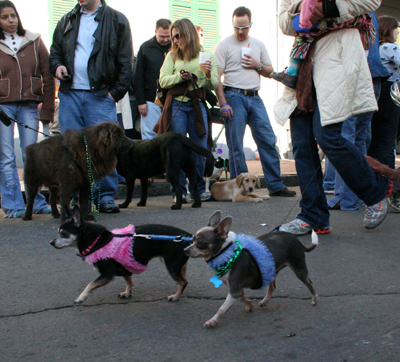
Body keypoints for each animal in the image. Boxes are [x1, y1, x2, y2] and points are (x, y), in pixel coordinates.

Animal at [50, 206, 192, 302]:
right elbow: (129, 281)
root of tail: (188, 236)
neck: (98, 241)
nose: (51, 242)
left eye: (63, 233)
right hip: (178, 265)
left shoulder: (107, 274)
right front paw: (127, 293)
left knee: (184, 282)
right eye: (58, 232)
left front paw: (81, 297)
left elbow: (90, 284)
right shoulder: (125, 267)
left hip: (171, 266)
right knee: (183, 279)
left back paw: (175, 296)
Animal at [185, 211, 318, 326]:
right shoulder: (236, 289)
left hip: (299, 268)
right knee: (272, 287)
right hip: (270, 270)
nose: (185, 249)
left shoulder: (234, 290)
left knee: (309, 283)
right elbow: (242, 298)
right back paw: (265, 301)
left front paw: (212, 321)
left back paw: (315, 299)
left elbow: (222, 308)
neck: (226, 252)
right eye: (192, 239)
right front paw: (249, 304)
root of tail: (296, 240)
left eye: (200, 242)